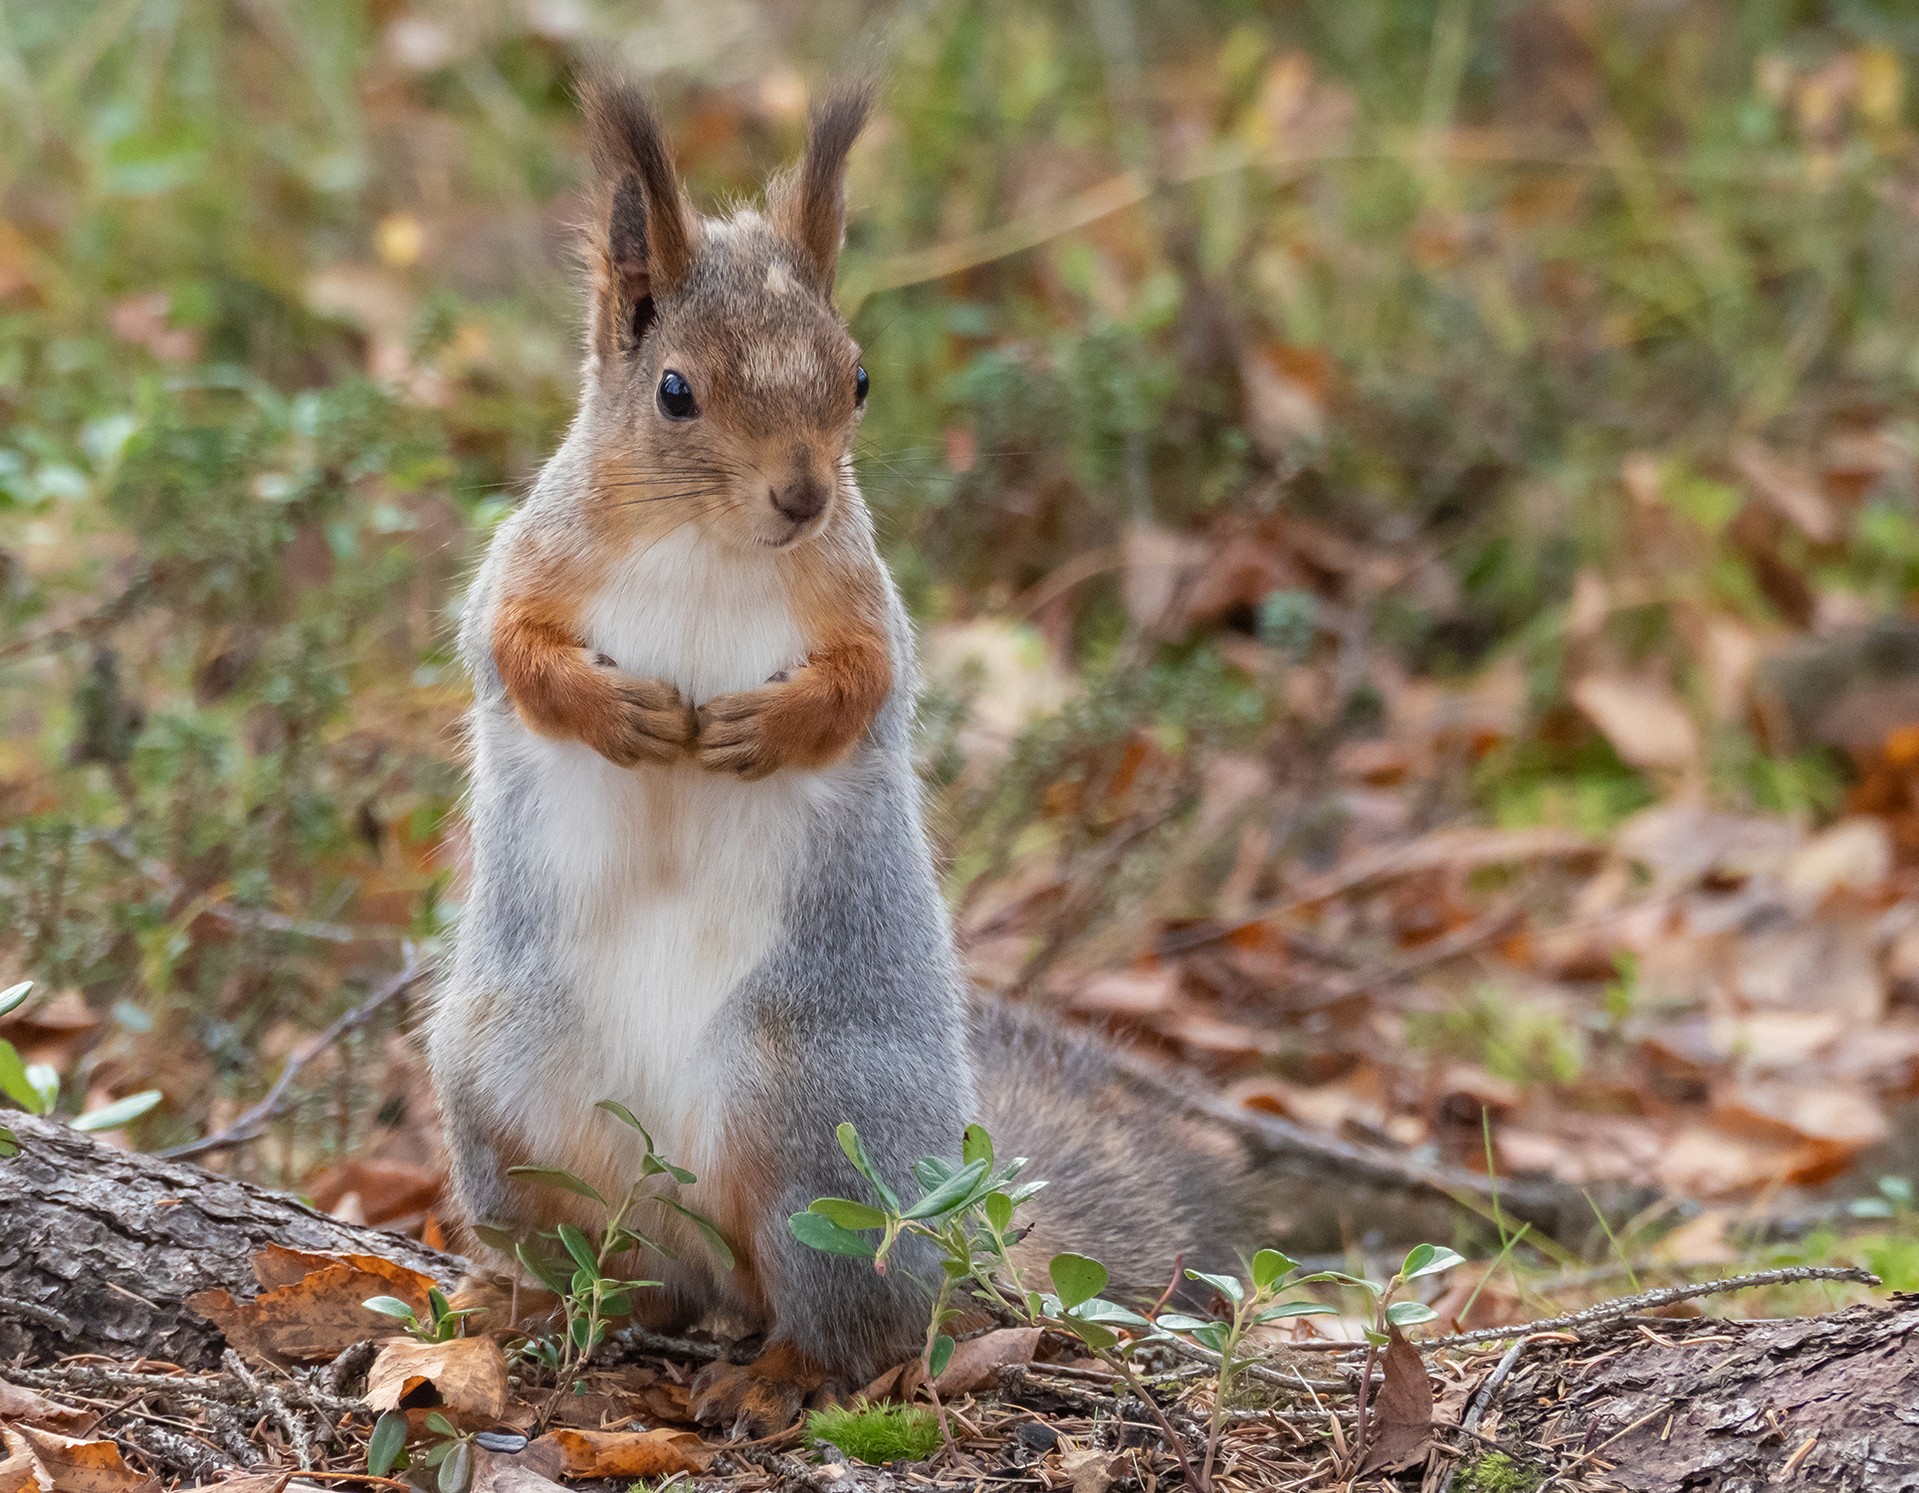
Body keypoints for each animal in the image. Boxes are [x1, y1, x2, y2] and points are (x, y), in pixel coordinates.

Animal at [427, 75, 1404, 1435]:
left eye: (856, 378)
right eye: (674, 390)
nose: (800, 498)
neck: (705, 541)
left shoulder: (859, 599)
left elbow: (868, 687)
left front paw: (763, 726)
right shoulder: (531, 560)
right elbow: (505, 647)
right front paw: (613, 709)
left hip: (818, 1129)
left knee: (854, 1315)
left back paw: (778, 1372)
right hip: (504, 1094)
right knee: (622, 1273)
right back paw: (531, 1299)